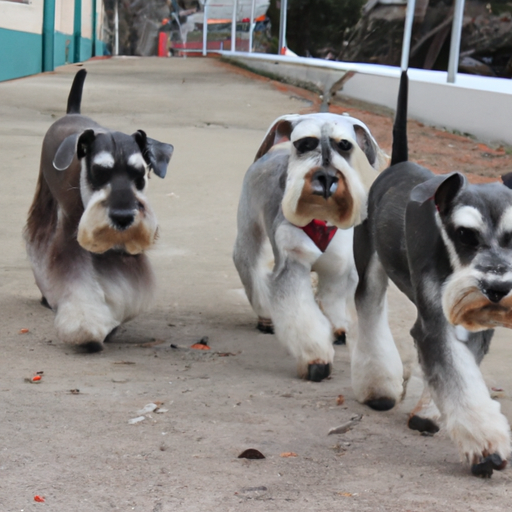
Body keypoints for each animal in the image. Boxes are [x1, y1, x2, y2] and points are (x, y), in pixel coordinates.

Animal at [24, 69, 174, 352]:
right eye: (99, 172)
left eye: (140, 173)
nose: (123, 217)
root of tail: (71, 113)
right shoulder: (72, 239)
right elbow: (79, 285)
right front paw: (84, 326)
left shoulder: (122, 249)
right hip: (46, 200)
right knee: (39, 241)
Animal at [234, 113, 386, 384]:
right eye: (304, 143)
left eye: (344, 145)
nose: (326, 178)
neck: (321, 216)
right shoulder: (293, 264)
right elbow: (301, 314)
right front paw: (316, 360)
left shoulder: (340, 267)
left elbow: (334, 298)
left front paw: (338, 328)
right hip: (250, 232)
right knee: (250, 266)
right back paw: (265, 316)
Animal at [352, 71, 512, 476]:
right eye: (464, 234)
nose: (497, 289)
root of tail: (398, 165)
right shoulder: (434, 321)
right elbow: (455, 371)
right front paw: (486, 444)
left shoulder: (475, 321)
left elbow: (462, 368)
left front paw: (429, 412)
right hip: (371, 269)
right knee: (369, 309)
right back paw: (378, 388)